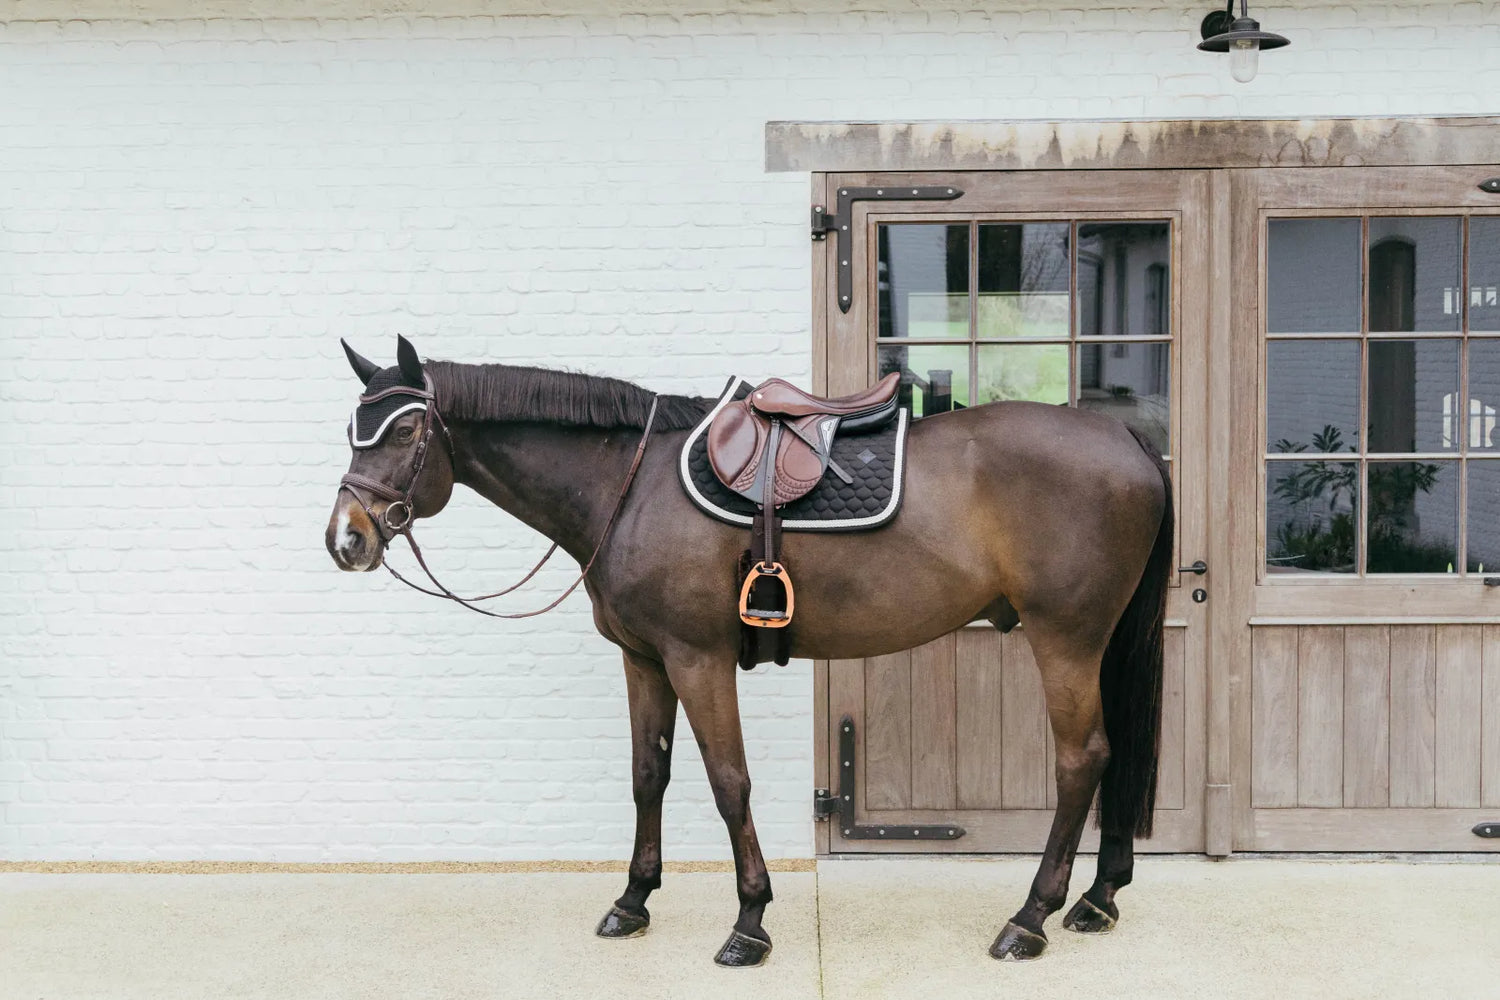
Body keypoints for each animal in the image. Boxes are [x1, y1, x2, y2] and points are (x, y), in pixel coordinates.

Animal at [328, 338, 1170, 971]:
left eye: (402, 433)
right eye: (351, 431)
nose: (347, 540)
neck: (629, 486)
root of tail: (1123, 437)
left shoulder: (696, 658)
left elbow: (729, 782)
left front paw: (749, 922)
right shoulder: (644, 659)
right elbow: (649, 776)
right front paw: (632, 902)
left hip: (1066, 637)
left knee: (1083, 760)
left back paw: (1030, 917)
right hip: (1101, 641)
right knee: (1117, 752)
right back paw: (1098, 899)